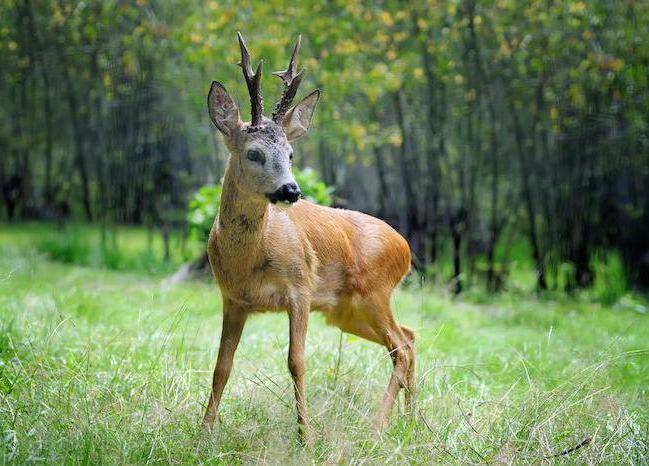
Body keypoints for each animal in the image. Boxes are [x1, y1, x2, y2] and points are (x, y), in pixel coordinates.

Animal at [202, 32, 416, 440]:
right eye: (254, 153)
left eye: (290, 153)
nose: (290, 190)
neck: (248, 260)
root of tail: (406, 247)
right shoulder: (232, 299)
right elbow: (222, 365)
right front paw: (203, 430)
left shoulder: (299, 288)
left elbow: (296, 362)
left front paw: (306, 436)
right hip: (347, 311)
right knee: (410, 337)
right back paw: (412, 421)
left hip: (375, 291)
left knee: (400, 346)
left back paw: (378, 425)